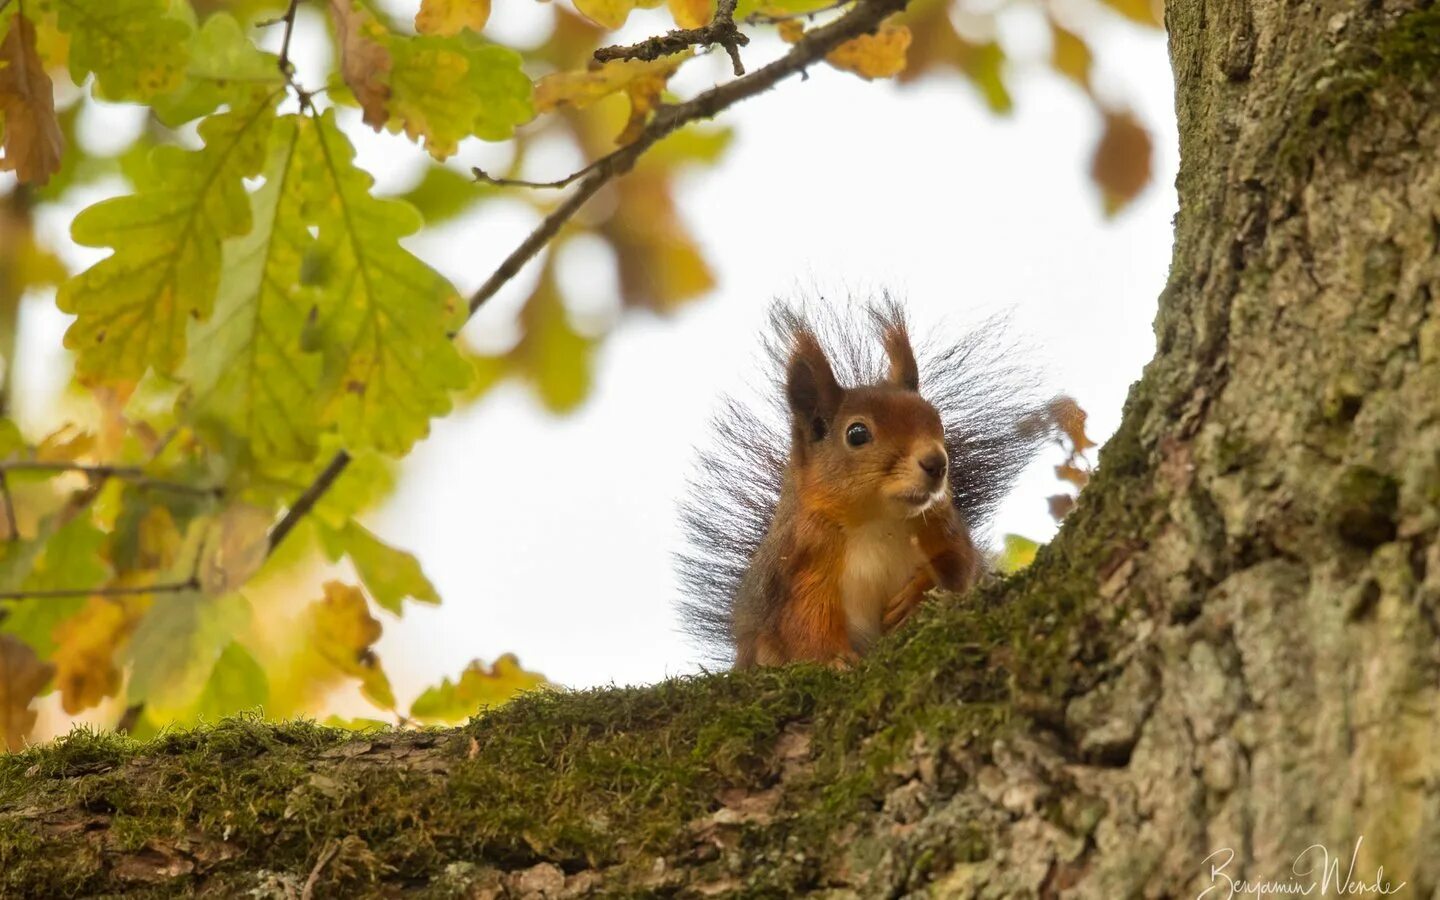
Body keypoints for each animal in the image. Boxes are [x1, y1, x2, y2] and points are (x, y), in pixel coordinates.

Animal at [679, 299, 1054, 668]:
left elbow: (959, 565)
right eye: (857, 434)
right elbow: (804, 623)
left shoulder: (941, 524)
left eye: (937, 420)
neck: (878, 521)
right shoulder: (804, 559)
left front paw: (917, 595)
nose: (936, 463)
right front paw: (833, 659)